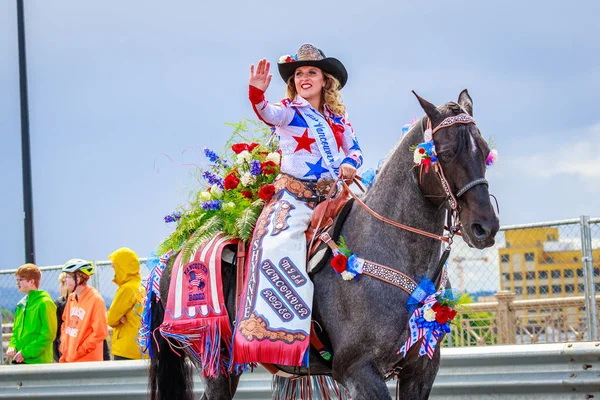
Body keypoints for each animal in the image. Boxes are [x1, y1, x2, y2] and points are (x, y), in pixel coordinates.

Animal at [148, 90, 500, 400]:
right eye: (447, 152)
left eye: (484, 151)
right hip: (215, 365)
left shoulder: (420, 372)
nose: (485, 227)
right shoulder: (359, 371)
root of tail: (174, 254)